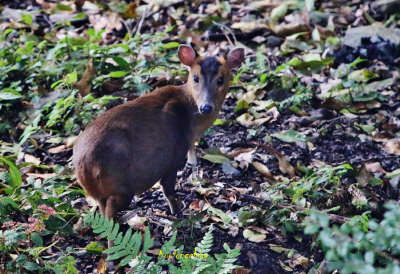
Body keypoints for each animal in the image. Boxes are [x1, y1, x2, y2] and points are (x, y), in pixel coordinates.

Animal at [73, 45, 245, 225]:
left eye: (220, 80)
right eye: (196, 78)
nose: (206, 107)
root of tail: (85, 166)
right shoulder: (173, 155)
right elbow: (167, 188)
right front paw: (177, 211)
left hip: (99, 191)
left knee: (102, 208)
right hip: (120, 181)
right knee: (111, 209)